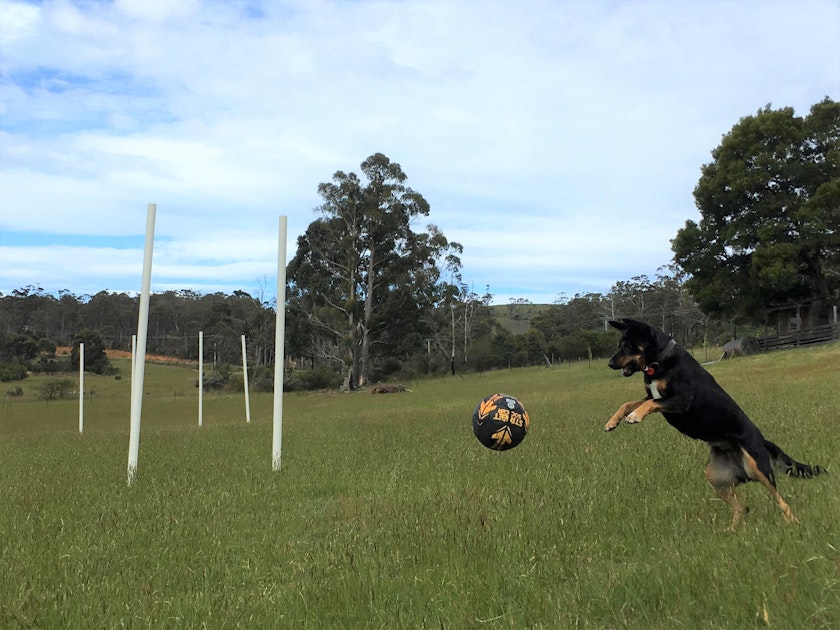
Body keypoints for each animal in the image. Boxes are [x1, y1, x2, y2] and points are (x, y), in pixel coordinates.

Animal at [608, 318, 824, 532]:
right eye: (619, 344)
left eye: (626, 346)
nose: (610, 363)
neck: (660, 361)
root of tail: (762, 440)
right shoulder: (653, 395)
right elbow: (628, 403)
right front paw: (612, 422)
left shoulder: (680, 401)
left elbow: (648, 404)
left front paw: (635, 416)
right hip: (715, 476)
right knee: (742, 507)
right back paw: (731, 530)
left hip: (758, 467)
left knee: (780, 499)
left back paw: (792, 521)